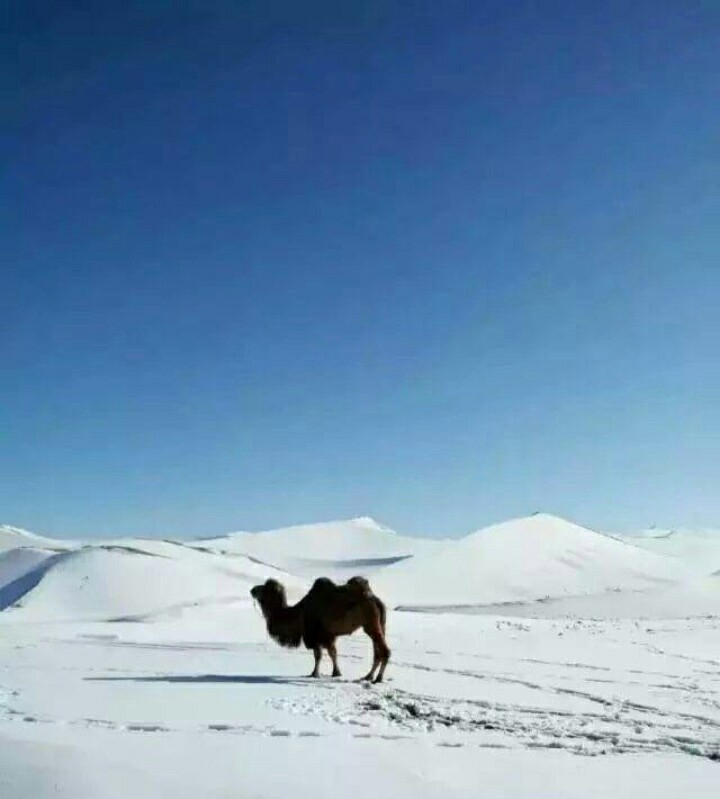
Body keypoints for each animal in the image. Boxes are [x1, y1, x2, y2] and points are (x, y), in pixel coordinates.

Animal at [250, 580, 390, 684]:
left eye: (264, 588)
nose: (252, 590)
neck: (299, 613)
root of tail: (376, 600)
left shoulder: (316, 635)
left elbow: (318, 655)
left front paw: (314, 674)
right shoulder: (328, 635)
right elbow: (332, 653)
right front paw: (336, 673)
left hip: (370, 623)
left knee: (385, 651)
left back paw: (378, 678)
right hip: (378, 624)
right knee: (377, 651)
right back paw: (368, 676)